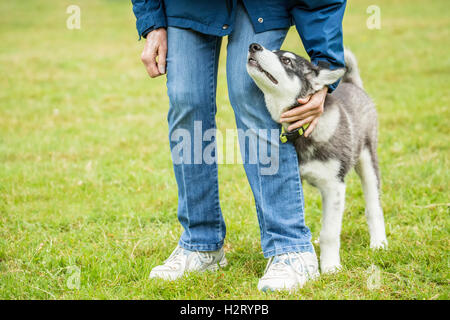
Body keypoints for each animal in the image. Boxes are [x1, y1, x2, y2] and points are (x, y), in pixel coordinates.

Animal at [246, 42, 386, 272]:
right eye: (273, 51)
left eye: (286, 60)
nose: (254, 46)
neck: (303, 131)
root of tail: (351, 83)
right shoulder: (297, 181)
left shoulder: (335, 186)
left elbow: (330, 232)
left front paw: (330, 267)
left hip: (367, 160)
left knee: (373, 207)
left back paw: (379, 242)